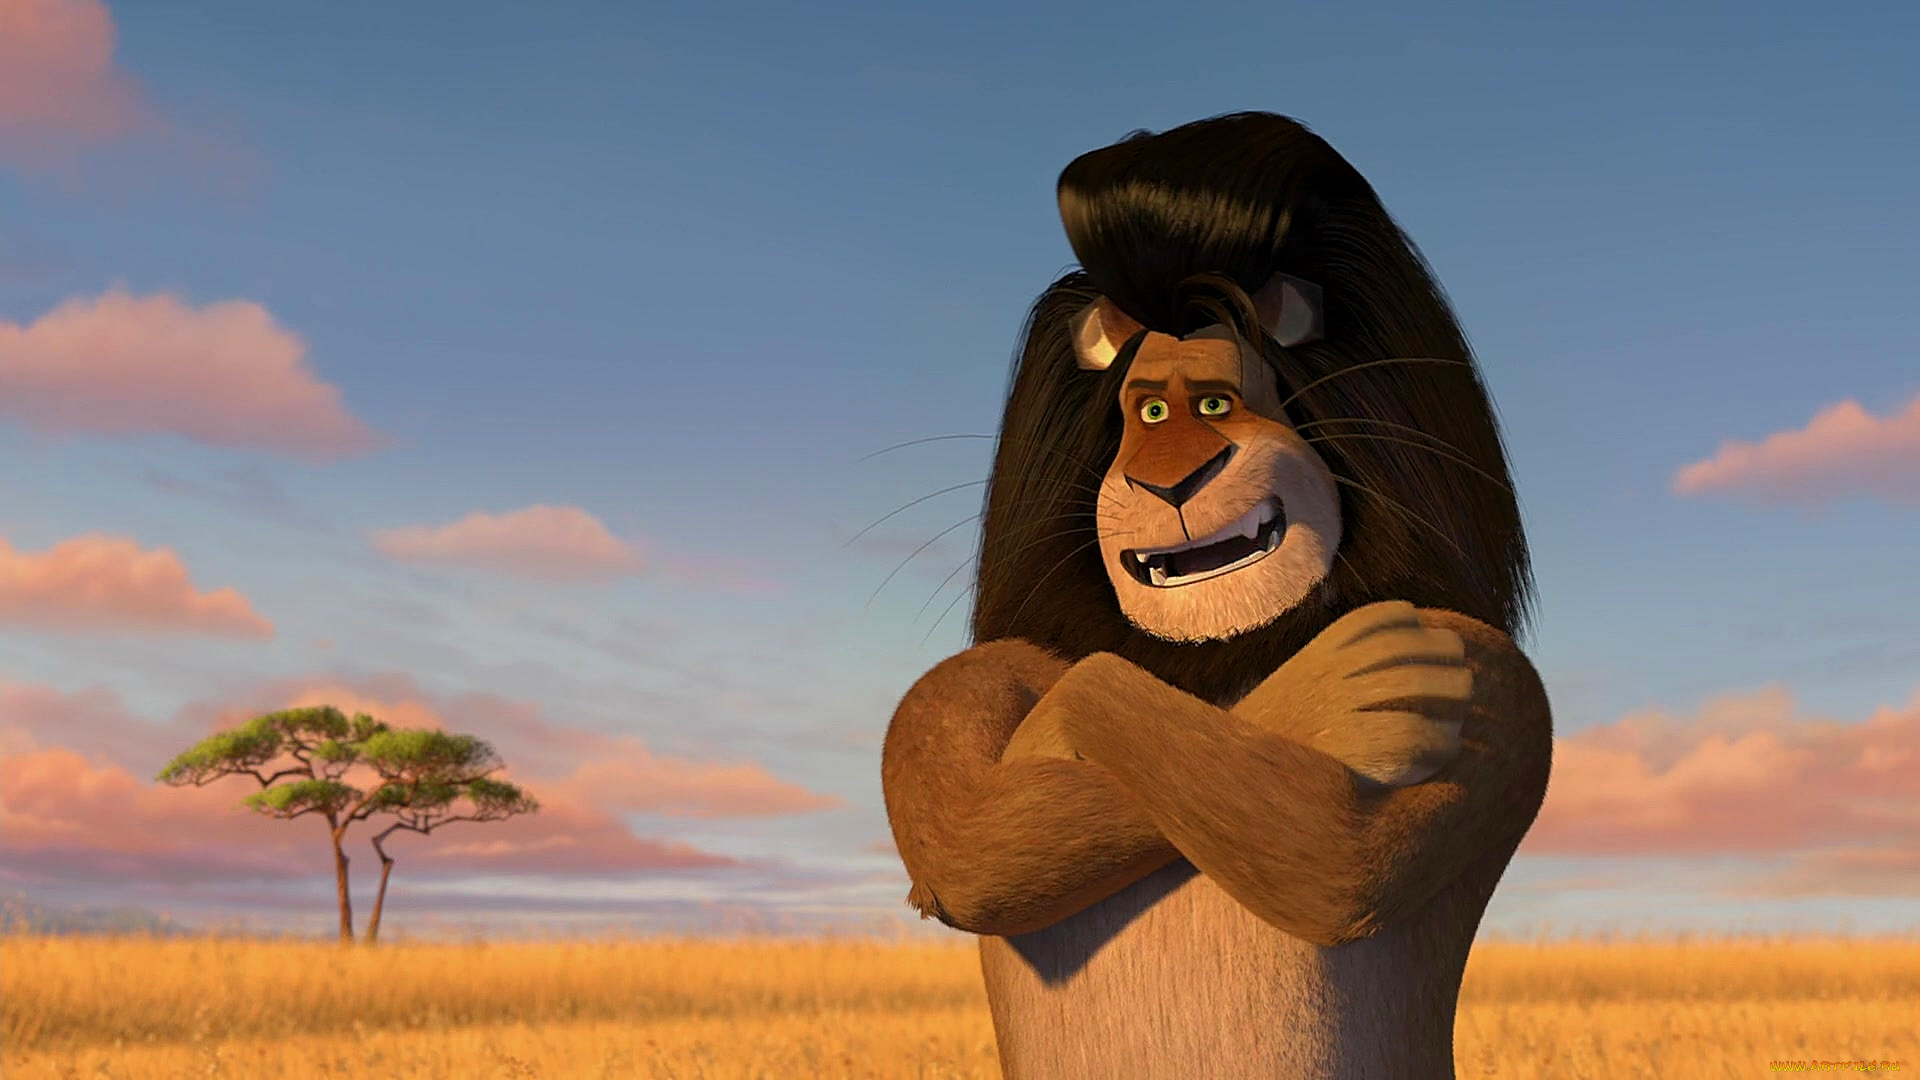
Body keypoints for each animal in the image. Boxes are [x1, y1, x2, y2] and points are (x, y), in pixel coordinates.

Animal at [880, 112, 1553, 1078]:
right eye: (1149, 414)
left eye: (1216, 404)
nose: (1168, 484)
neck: (1215, 660)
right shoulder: (944, 695)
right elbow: (982, 822)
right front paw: (1348, 688)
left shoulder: (1503, 680)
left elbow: (1334, 853)